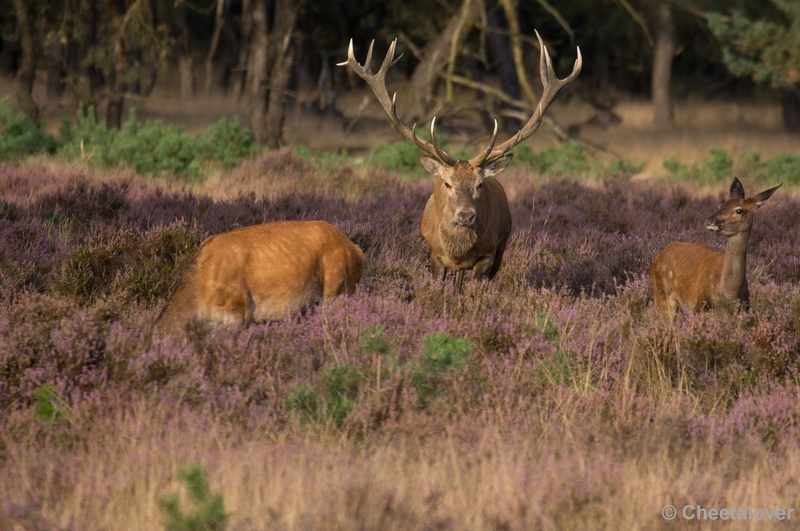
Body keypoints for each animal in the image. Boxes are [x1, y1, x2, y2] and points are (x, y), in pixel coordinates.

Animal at [338, 33, 580, 290]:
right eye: (448, 183)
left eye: (480, 184)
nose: (466, 216)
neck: (457, 252)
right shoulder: (434, 254)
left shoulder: (488, 254)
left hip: (501, 247)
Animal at [648, 179, 780, 320]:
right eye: (720, 206)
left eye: (739, 210)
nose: (709, 220)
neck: (727, 295)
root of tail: (657, 257)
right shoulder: (697, 308)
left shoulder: (745, 307)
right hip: (661, 297)